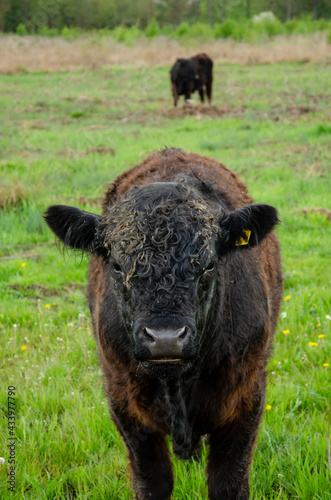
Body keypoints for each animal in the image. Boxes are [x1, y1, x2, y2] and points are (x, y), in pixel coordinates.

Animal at [44, 148, 282, 500]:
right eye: (117, 266)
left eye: (209, 265)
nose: (166, 338)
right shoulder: (124, 402)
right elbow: (153, 482)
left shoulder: (246, 398)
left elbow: (228, 483)